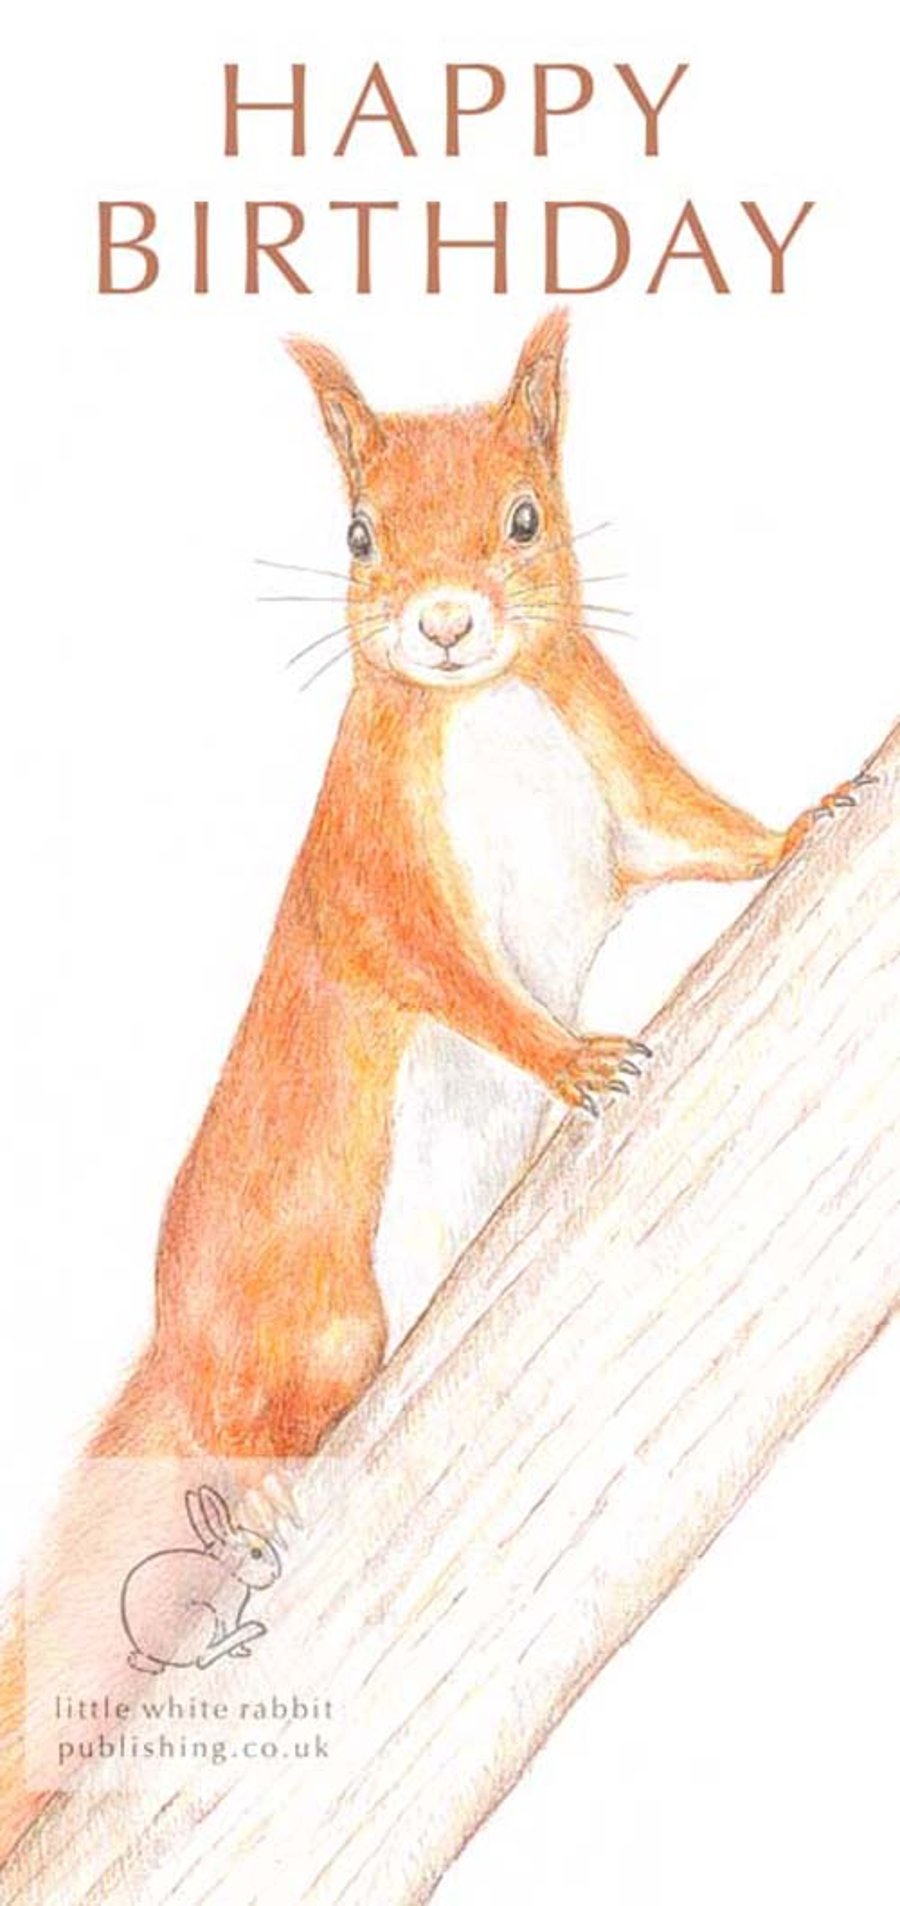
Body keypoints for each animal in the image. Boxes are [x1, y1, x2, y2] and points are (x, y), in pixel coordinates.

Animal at [0, 309, 841, 1864]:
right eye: (357, 533)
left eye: (525, 517)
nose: (446, 622)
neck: (488, 709)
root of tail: (177, 1351)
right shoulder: (373, 876)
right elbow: (452, 977)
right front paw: (573, 1056)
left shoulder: (615, 772)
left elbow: (697, 833)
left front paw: (807, 823)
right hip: (323, 1313)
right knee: (241, 1434)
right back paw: (257, 1483)